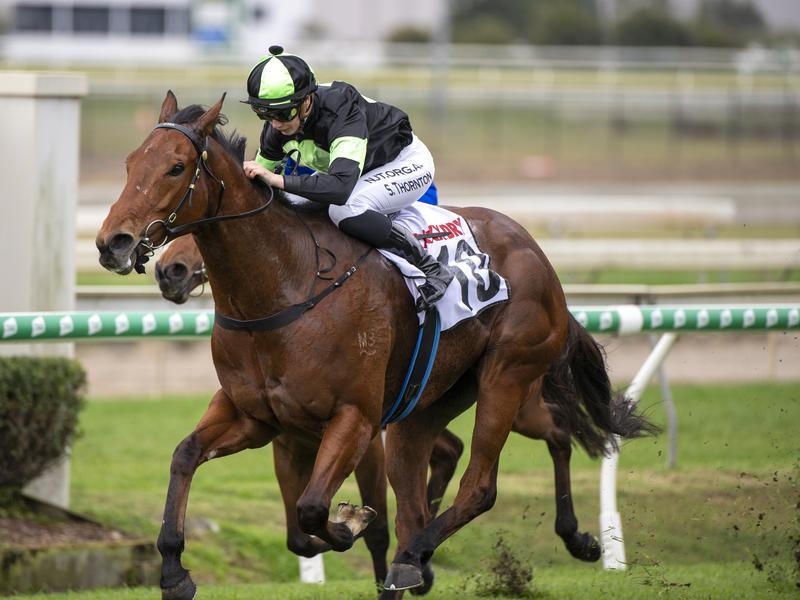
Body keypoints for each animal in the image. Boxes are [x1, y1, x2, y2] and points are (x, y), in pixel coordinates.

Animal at [96, 91, 656, 600]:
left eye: (176, 167)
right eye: (129, 164)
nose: (112, 244)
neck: (287, 283)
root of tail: (536, 252)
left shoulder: (355, 418)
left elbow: (316, 510)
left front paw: (351, 521)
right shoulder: (255, 417)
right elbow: (192, 460)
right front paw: (173, 571)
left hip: (508, 377)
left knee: (484, 482)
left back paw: (423, 557)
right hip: (426, 409)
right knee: (482, 463)